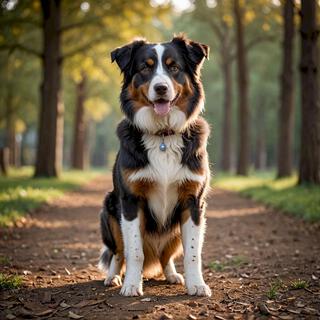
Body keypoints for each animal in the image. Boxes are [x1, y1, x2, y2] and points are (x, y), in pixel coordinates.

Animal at [99, 35, 211, 298]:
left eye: (174, 67)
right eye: (145, 68)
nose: (161, 88)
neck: (163, 135)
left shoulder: (193, 202)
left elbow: (193, 254)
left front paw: (197, 284)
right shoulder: (130, 201)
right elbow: (134, 252)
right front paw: (131, 284)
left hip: (174, 232)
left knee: (165, 256)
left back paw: (172, 274)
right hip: (110, 211)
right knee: (119, 253)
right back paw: (113, 277)